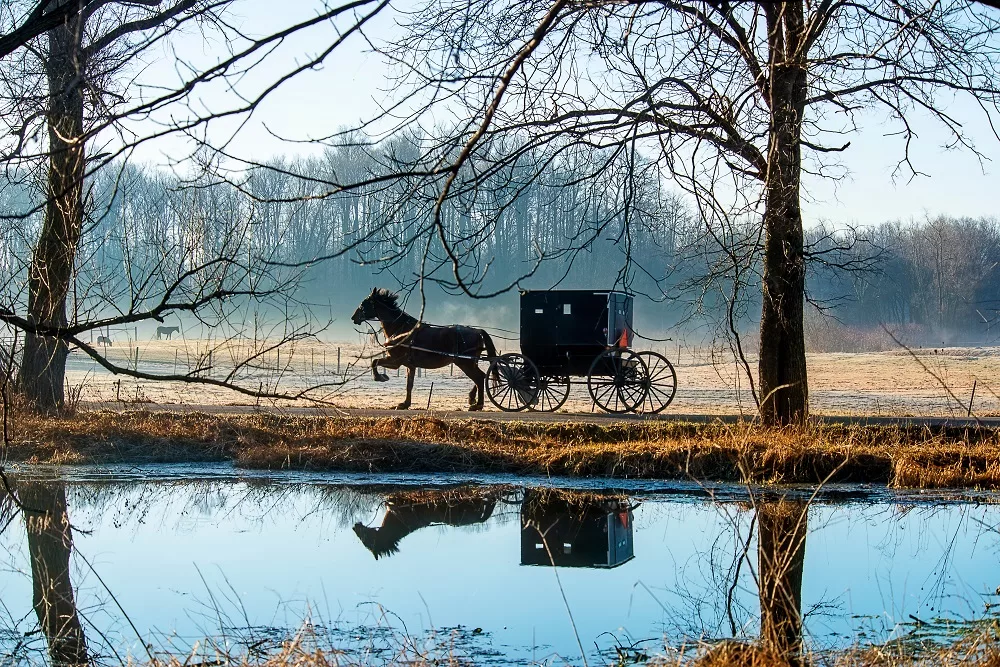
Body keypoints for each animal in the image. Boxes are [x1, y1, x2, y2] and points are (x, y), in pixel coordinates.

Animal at [352, 288, 500, 410]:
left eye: (364, 303)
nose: (353, 317)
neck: (402, 330)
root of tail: (477, 331)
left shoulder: (395, 361)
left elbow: (375, 362)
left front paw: (380, 377)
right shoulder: (410, 365)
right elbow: (409, 385)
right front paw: (405, 404)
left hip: (465, 363)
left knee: (479, 378)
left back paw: (478, 405)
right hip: (470, 362)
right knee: (481, 376)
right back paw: (472, 399)